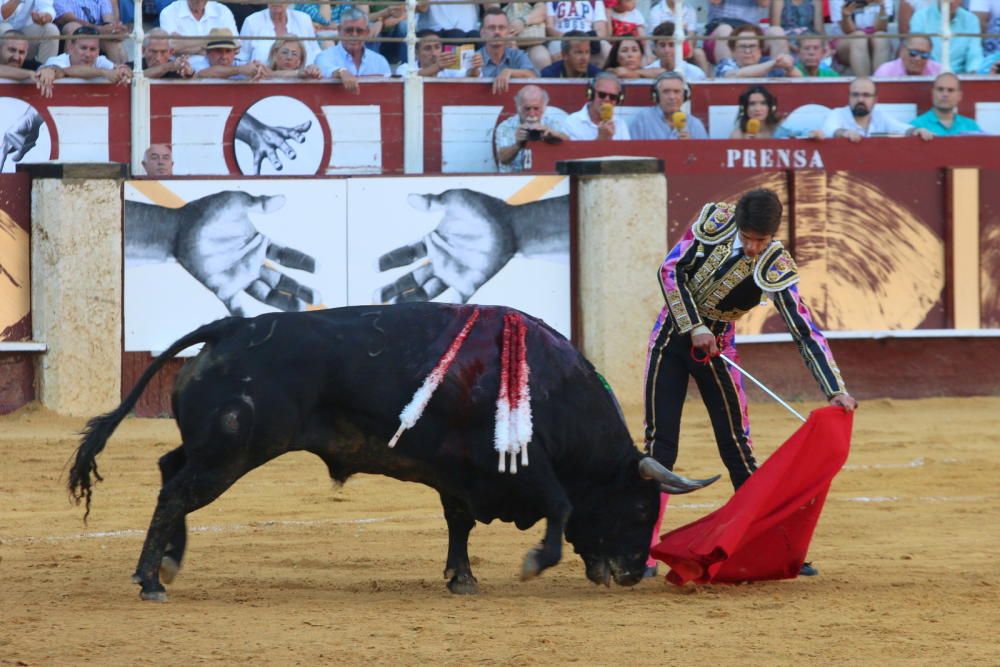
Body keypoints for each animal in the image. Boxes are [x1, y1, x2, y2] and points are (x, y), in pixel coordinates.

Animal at [70, 302, 720, 600]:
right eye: (641, 509)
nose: (633, 573)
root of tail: (231, 327)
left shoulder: (461, 474)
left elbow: (459, 523)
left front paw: (462, 579)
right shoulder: (522, 467)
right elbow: (559, 507)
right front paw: (535, 561)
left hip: (212, 448)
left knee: (168, 473)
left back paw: (167, 564)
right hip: (231, 453)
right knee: (177, 491)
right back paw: (150, 578)